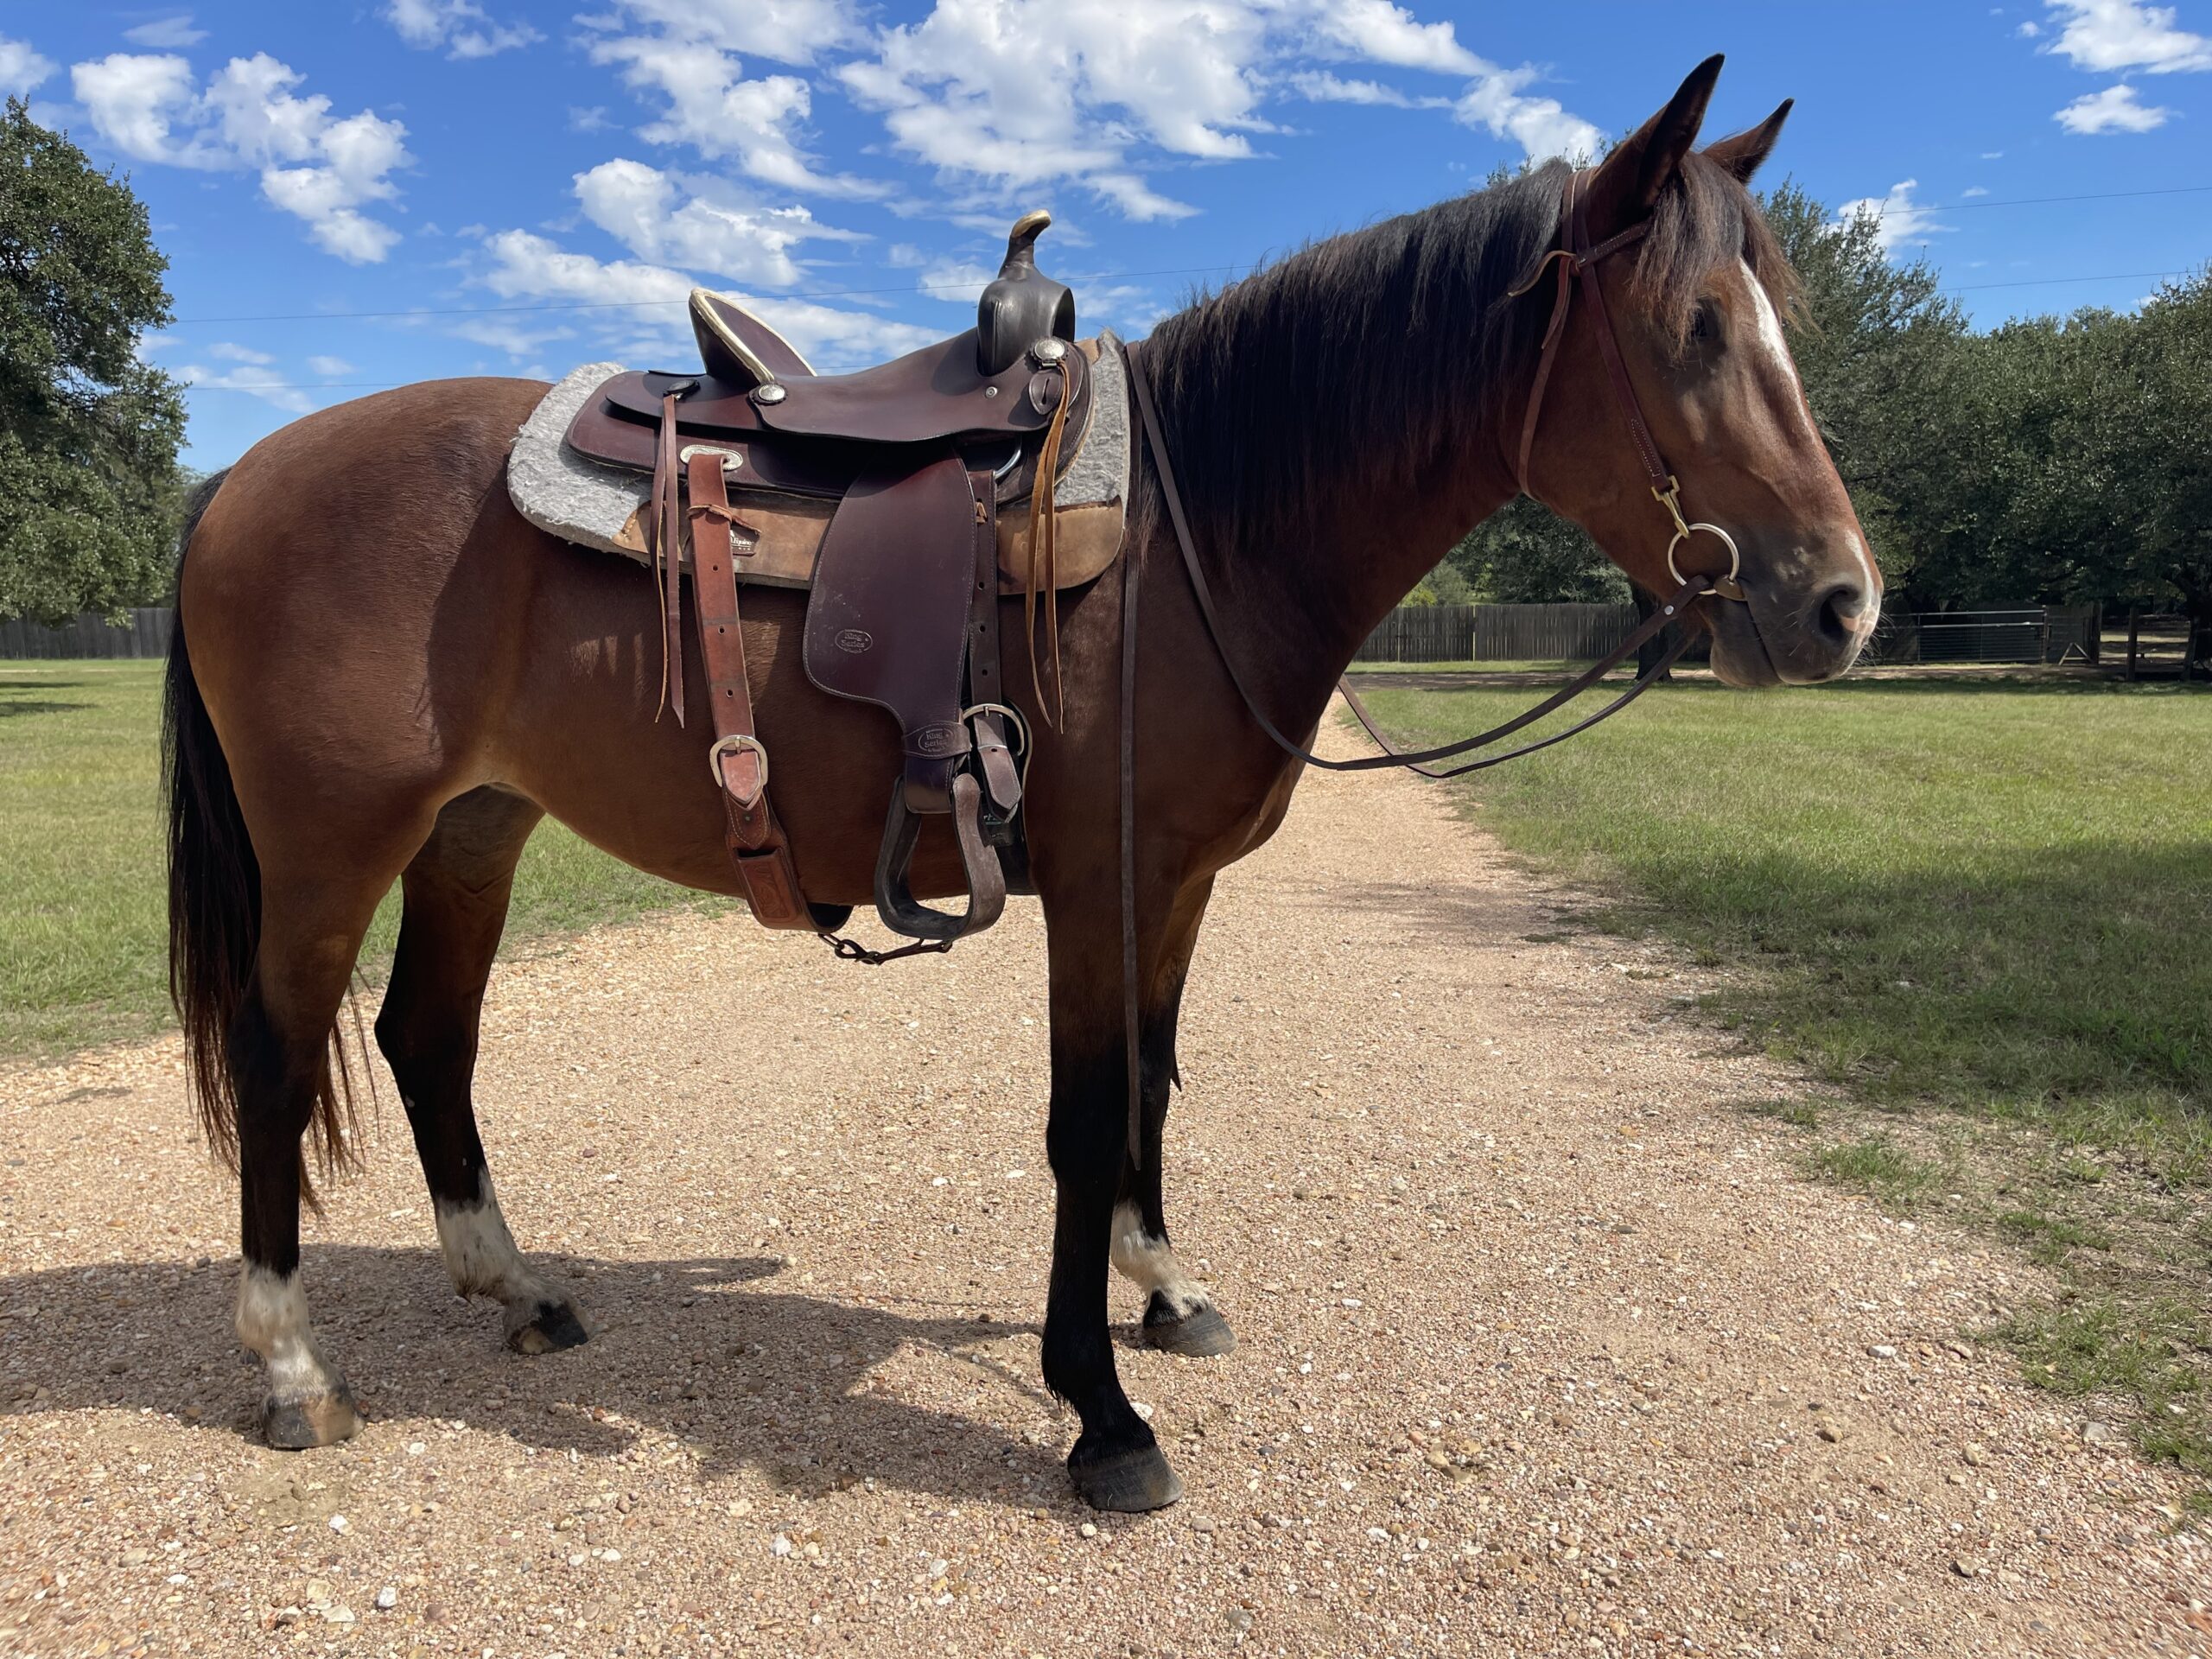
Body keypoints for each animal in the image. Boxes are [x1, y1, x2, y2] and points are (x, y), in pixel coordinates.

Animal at [163, 57, 1878, 1512]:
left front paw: (1164, 1286)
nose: (1842, 604)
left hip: (473, 832)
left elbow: (1152, 1087)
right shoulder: (1100, 882)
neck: (1207, 530)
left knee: (425, 1039)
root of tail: (245, 475)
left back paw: (517, 1289)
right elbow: (1081, 1114)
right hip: (331, 847)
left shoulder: (1175, 886)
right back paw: (294, 1366)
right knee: (279, 1057)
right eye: (1694, 329)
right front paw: (1101, 1413)